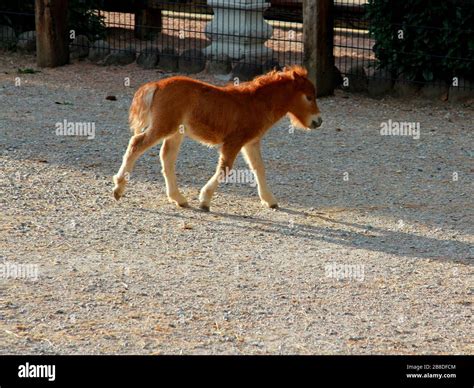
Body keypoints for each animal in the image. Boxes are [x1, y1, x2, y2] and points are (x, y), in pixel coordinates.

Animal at [113, 66, 324, 212]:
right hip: (164, 127)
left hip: (175, 133)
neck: (255, 104)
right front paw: (205, 201)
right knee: (136, 144)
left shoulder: (251, 143)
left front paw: (270, 200)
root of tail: (156, 85)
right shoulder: (234, 142)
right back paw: (118, 189)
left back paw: (179, 198)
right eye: (308, 97)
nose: (318, 121)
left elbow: (259, 168)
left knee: (167, 158)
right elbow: (225, 169)